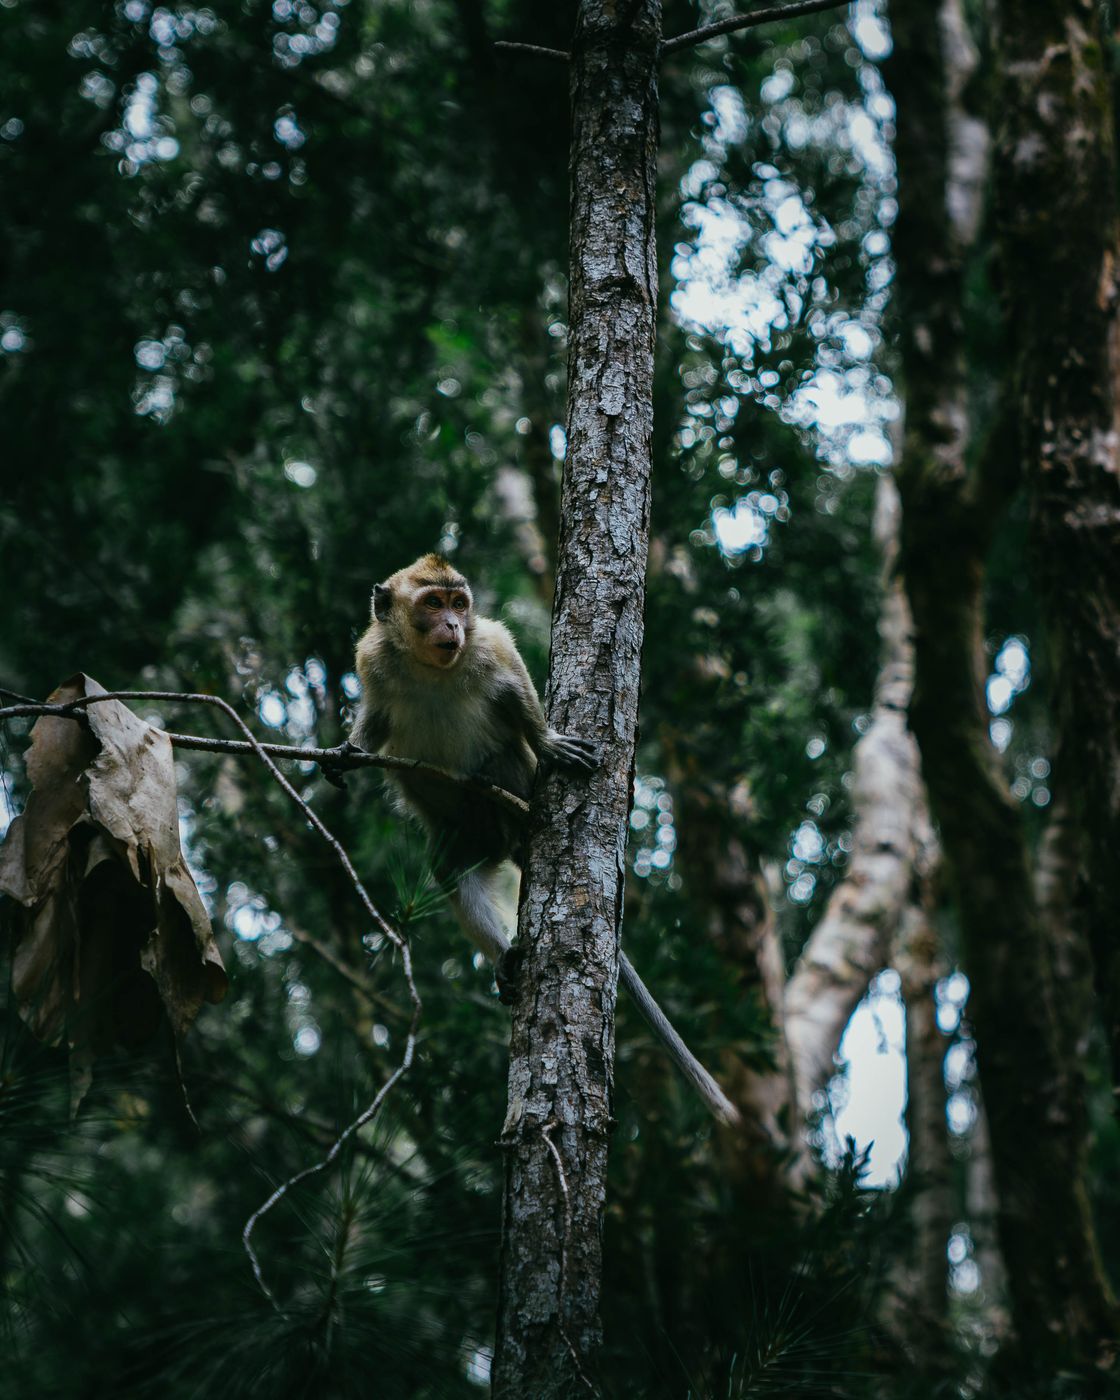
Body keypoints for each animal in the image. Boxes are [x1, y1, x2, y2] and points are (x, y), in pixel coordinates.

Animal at [350, 554, 740, 1127]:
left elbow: (514, 692)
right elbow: (376, 718)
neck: (430, 666)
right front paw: (345, 754)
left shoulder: (488, 644)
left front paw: (550, 741)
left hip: (504, 787)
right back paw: (505, 958)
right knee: (453, 869)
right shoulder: (373, 659)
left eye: (458, 603)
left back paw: (520, 817)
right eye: (432, 603)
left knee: (502, 757)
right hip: (463, 829)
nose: (453, 626)